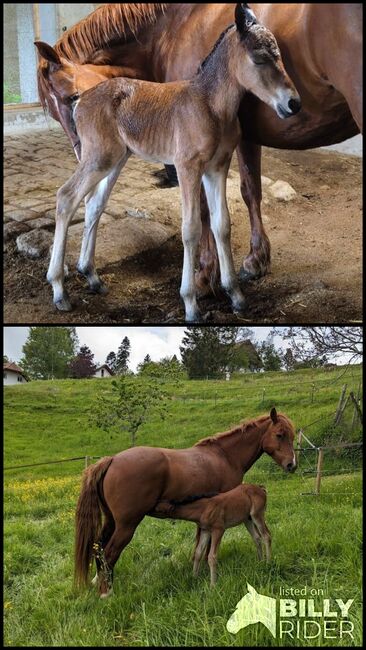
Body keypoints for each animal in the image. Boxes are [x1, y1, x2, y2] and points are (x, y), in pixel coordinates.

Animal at [39, 2, 300, 320]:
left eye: (280, 55)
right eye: (260, 58)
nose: (293, 103)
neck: (209, 104)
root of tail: (83, 101)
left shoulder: (217, 167)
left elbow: (222, 225)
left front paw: (236, 295)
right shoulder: (187, 167)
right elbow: (191, 228)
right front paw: (191, 304)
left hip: (114, 159)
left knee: (93, 204)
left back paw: (92, 277)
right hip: (98, 157)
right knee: (66, 197)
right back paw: (59, 290)